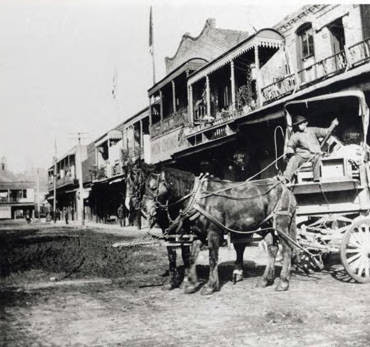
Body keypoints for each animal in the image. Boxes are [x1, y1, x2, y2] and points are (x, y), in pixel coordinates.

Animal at [142, 169, 298, 296]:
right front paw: (192, 285)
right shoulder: (198, 234)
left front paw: (210, 286)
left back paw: (283, 283)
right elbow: (191, 258)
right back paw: (265, 280)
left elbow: (212, 258)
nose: (144, 209)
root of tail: (285, 188)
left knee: (287, 249)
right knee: (272, 248)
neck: (200, 198)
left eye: (153, 187)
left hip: (281, 224)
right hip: (266, 226)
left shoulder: (213, 233)